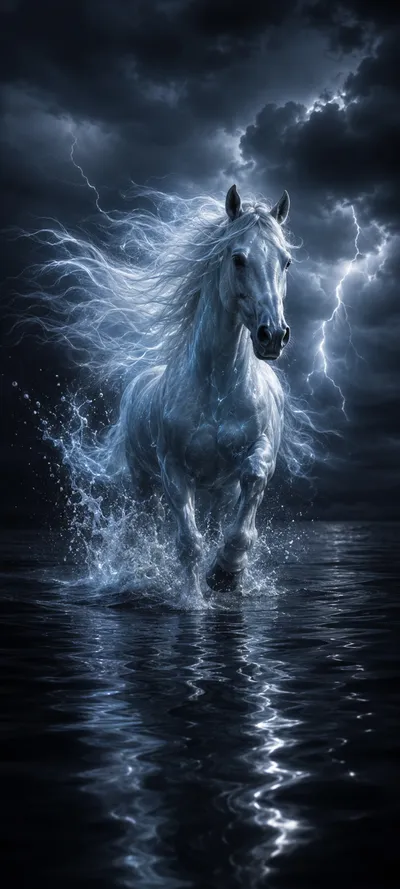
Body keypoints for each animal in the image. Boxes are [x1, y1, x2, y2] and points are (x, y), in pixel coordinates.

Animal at [119, 184, 293, 593]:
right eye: (238, 259)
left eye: (286, 262)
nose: (273, 335)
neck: (218, 388)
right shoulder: (173, 470)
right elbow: (188, 545)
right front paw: (192, 595)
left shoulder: (258, 455)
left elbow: (250, 488)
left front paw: (227, 571)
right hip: (143, 481)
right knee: (149, 523)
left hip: (218, 490)